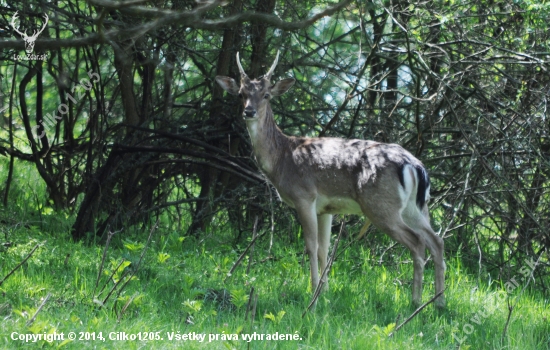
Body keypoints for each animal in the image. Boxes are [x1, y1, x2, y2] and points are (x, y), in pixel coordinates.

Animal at [217, 50, 448, 308]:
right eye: (241, 94)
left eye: (266, 95)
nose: (249, 112)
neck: (281, 159)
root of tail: (415, 166)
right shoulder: (326, 209)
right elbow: (324, 248)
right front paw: (325, 291)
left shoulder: (304, 196)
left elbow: (310, 246)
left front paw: (312, 293)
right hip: (416, 207)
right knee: (436, 241)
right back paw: (438, 302)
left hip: (381, 205)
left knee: (418, 242)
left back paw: (416, 301)